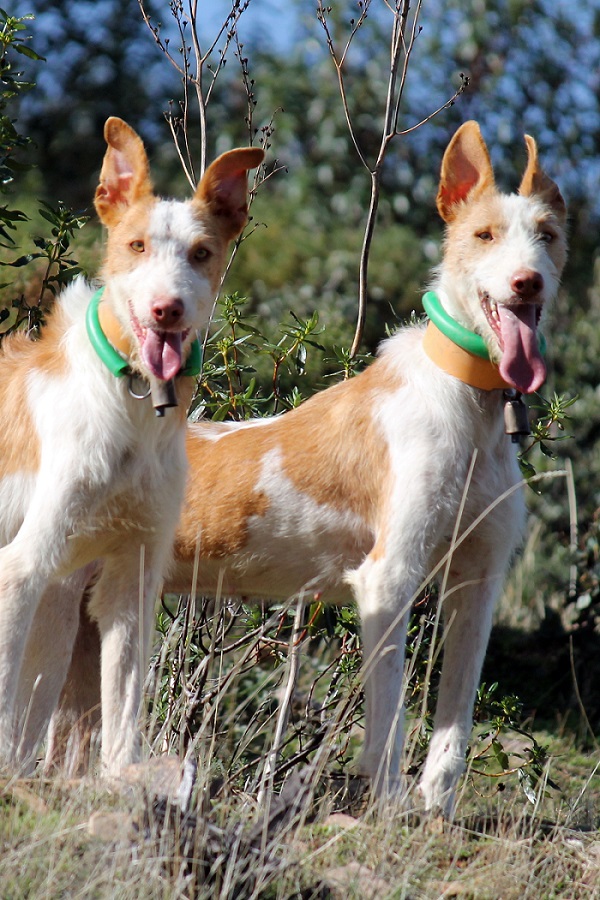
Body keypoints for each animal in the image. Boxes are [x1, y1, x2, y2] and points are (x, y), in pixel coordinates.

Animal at [0, 116, 262, 776]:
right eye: (137, 246)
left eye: (201, 253)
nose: (167, 309)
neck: (132, 405)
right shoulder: (20, 571)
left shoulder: (128, 586)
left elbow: (121, 718)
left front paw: (123, 783)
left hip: (62, 606)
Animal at [49, 121, 564, 816]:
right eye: (484, 235)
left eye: (548, 235)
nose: (527, 282)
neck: (473, 404)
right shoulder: (387, 581)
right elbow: (389, 728)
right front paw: (384, 814)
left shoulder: (477, 587)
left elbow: (453, 731)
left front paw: (433, 815)